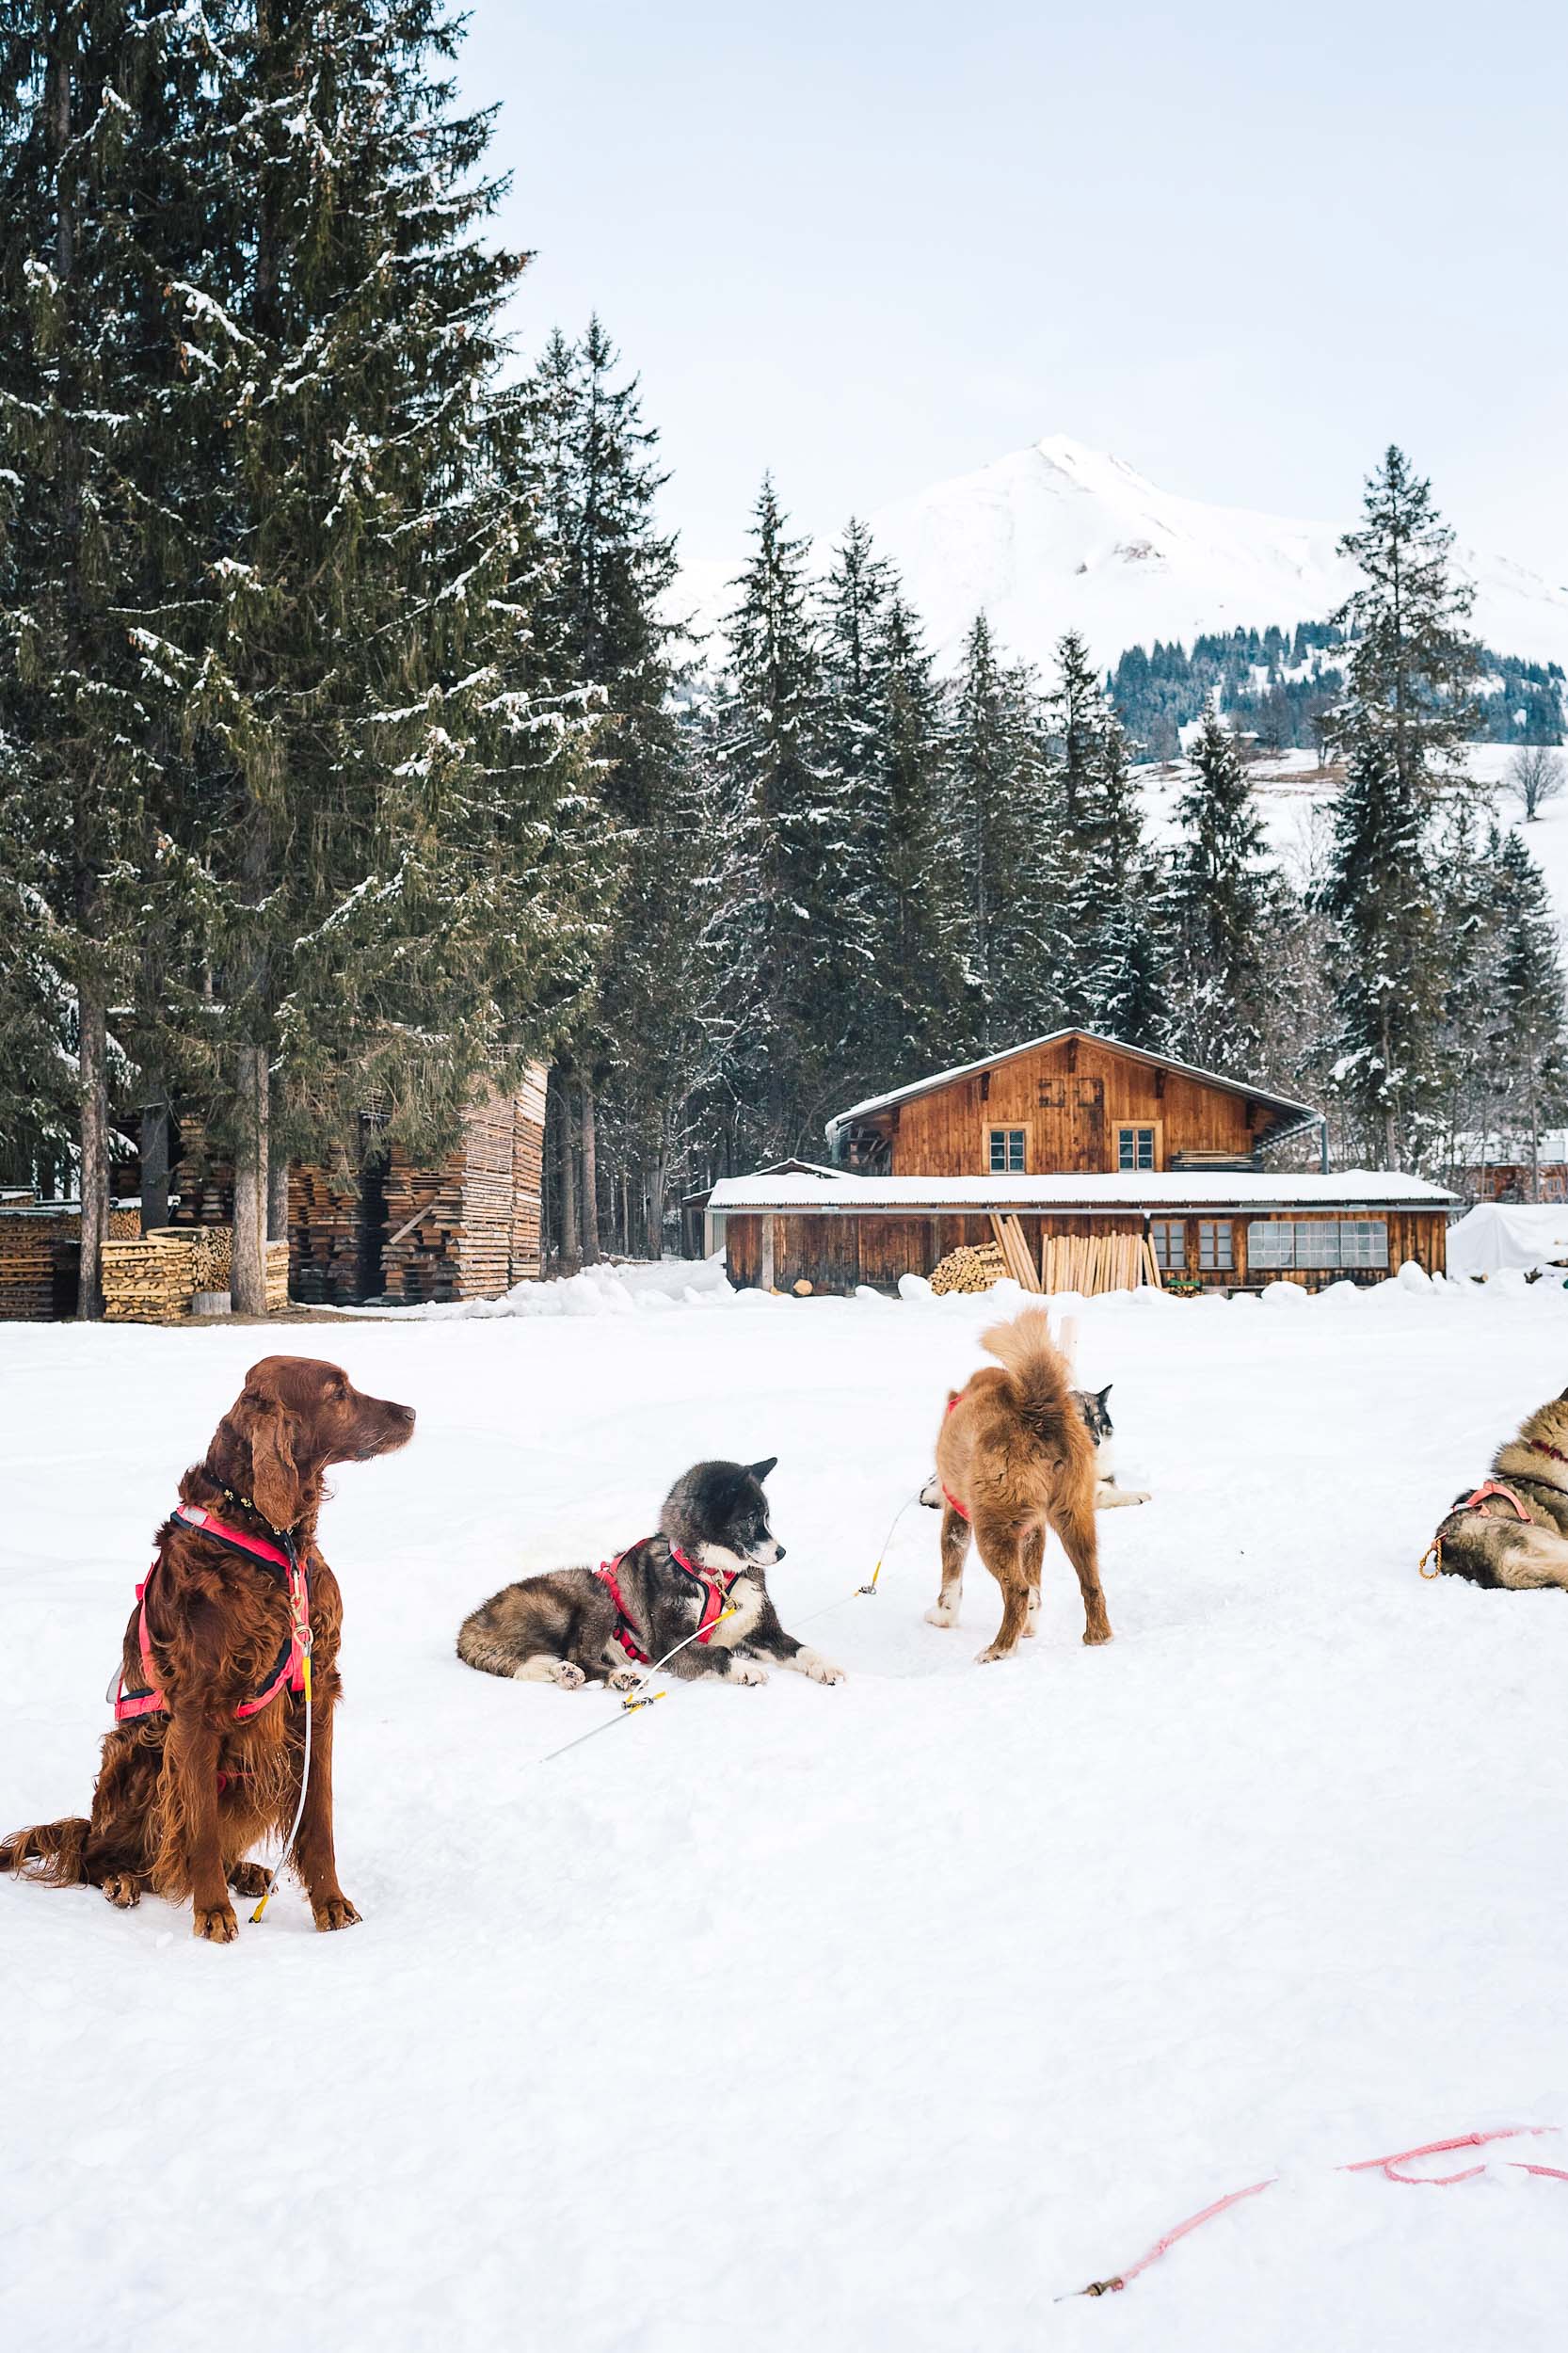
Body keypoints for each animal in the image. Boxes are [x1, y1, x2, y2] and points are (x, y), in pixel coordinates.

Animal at [0, 1355, 411, 1939]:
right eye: (337, 1392)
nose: (411, 1413)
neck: (271, 1541)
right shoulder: (196, 1706)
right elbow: (202, 1828)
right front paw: (212, 1911)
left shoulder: (318, 1691)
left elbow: (319, 1817)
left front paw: (330, 1902)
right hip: (140, 1751)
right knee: (92, 1853)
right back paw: (122, 1880)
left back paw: (247, 1871)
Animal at [452, 1459, 842, 1685]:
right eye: (750, 1517)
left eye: (767, 1516)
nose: (781, 1552)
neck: (715, 1576)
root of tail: (471, 1623)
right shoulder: (669, 1646)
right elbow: (719, 1652)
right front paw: (743, 1669)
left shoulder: (761, 1631)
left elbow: (800, 1649)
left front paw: (826, 1665)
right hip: (594, 1595)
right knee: (580, 1655)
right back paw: (618, 1675)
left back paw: (569, 1673)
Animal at [922, 1318, 1106, 1666]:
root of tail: (1038, 1413)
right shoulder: (1035, 1529)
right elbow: (1036, 1589)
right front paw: (1030, 1627)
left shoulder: (957, 1519)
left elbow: (951, 1578)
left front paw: (942, 1616)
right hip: (1074, 1517)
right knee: (1091, 1583)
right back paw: (1099, 1637)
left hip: (992, 1529)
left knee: (1016, 1590)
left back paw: (1000, 1649)